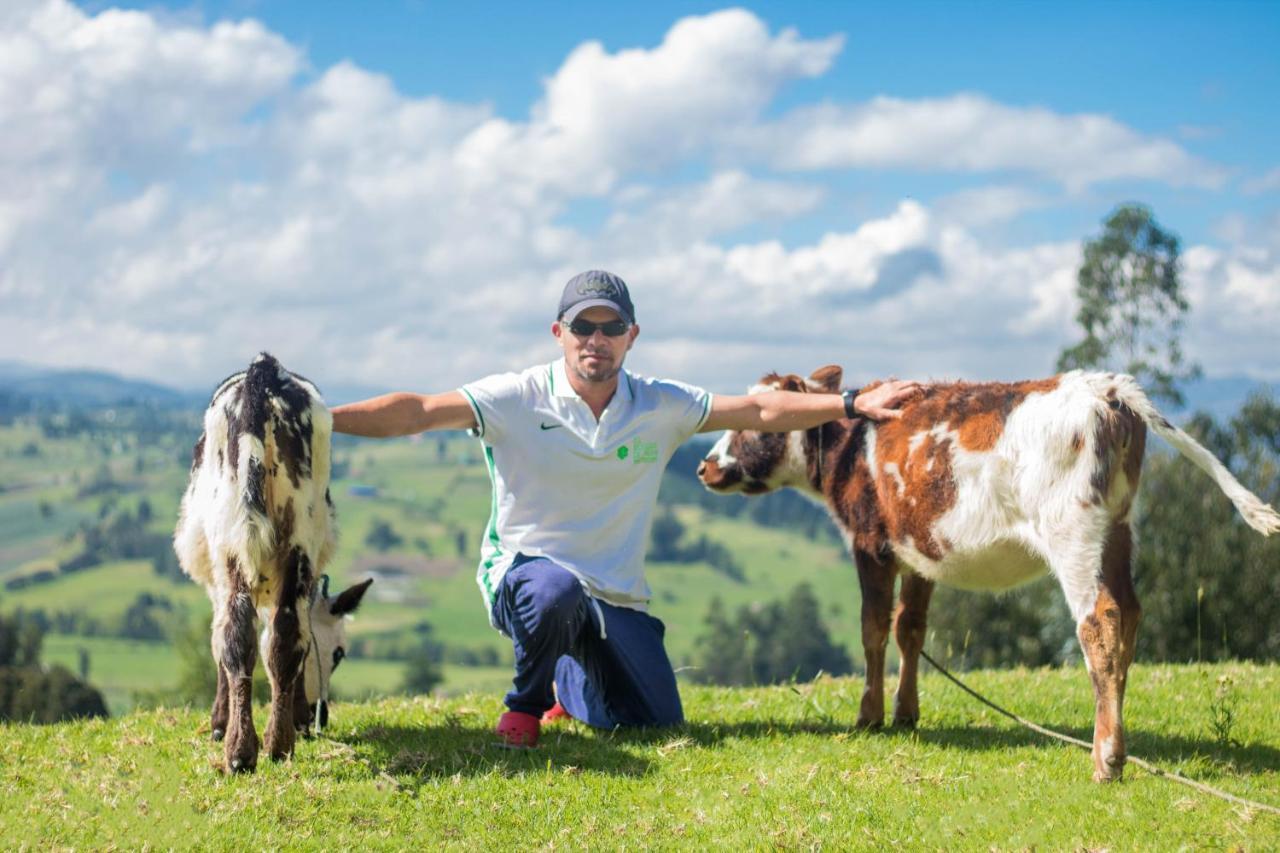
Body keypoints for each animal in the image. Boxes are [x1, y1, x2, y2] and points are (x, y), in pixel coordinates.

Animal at [172, 350, 371, 768]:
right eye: (339, 654)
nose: (320, 716)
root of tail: (262, 372)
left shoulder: (216, 579)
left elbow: (217, 640)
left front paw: (219, 721)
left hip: (243, 547)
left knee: (250, 634)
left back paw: (255, 747)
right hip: (289, 543)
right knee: (275, 634)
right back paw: (262, 746)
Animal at [701, 363, 1280, 778]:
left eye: (749, 423)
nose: (705, 465)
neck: (846, 450)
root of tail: (1105, 385)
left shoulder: (870, 543)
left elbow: (872, 629)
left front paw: (869, 716)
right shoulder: (920, 548)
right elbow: (910, 629)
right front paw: (905, 712)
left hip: (1073, 531)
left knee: (1100, 622)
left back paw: (1107, 757)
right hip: (1117, 528)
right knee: (1131, 615)